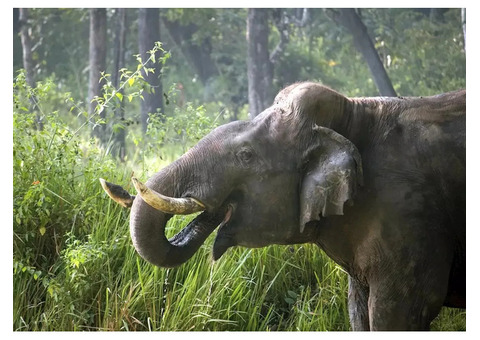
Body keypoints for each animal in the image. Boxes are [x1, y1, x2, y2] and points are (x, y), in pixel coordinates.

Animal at [102, 81, 464, 330]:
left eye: (246, 155)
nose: (121, 183)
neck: (355, 113)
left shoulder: (411, 216)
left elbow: (402, 310)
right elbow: (359, 311)